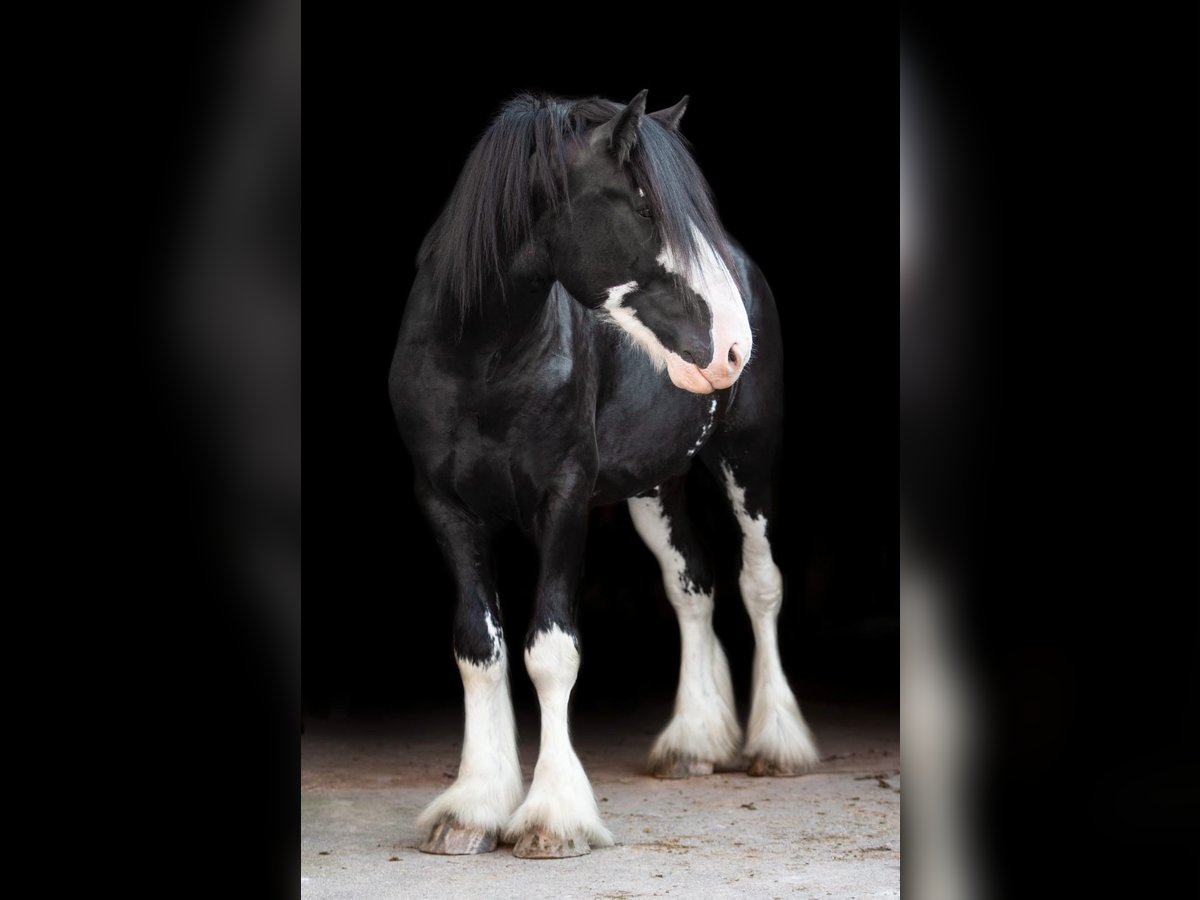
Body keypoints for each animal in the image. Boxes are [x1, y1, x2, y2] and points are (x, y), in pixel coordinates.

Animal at [388, 90, 820, 859]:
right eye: (645, 205)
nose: (734, 347)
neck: (481, 358)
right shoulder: (444, 506)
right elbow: (479, 648)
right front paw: (472, 809)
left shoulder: (563, 500)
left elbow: (551, 650)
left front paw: (552, 818)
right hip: (652, 489)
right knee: (693, 587)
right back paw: (693, 742)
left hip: (747, 463)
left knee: (760, 584)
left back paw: (777, 745)